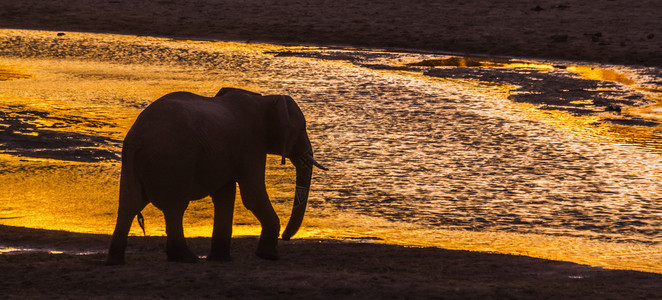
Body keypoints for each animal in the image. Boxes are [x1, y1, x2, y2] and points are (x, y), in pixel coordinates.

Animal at [104, 88, 330, 264]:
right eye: (302, 129)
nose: (286, 238)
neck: (265, 99)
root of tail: (136, 138)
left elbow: (225, 196)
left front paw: (221, 259)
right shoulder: (251, 143)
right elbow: (252, 195)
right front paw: (269, 256)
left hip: (133, 163)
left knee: (129, 205)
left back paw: (115, 261)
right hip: (172, 161)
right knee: (174, 208)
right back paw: (186, 258)